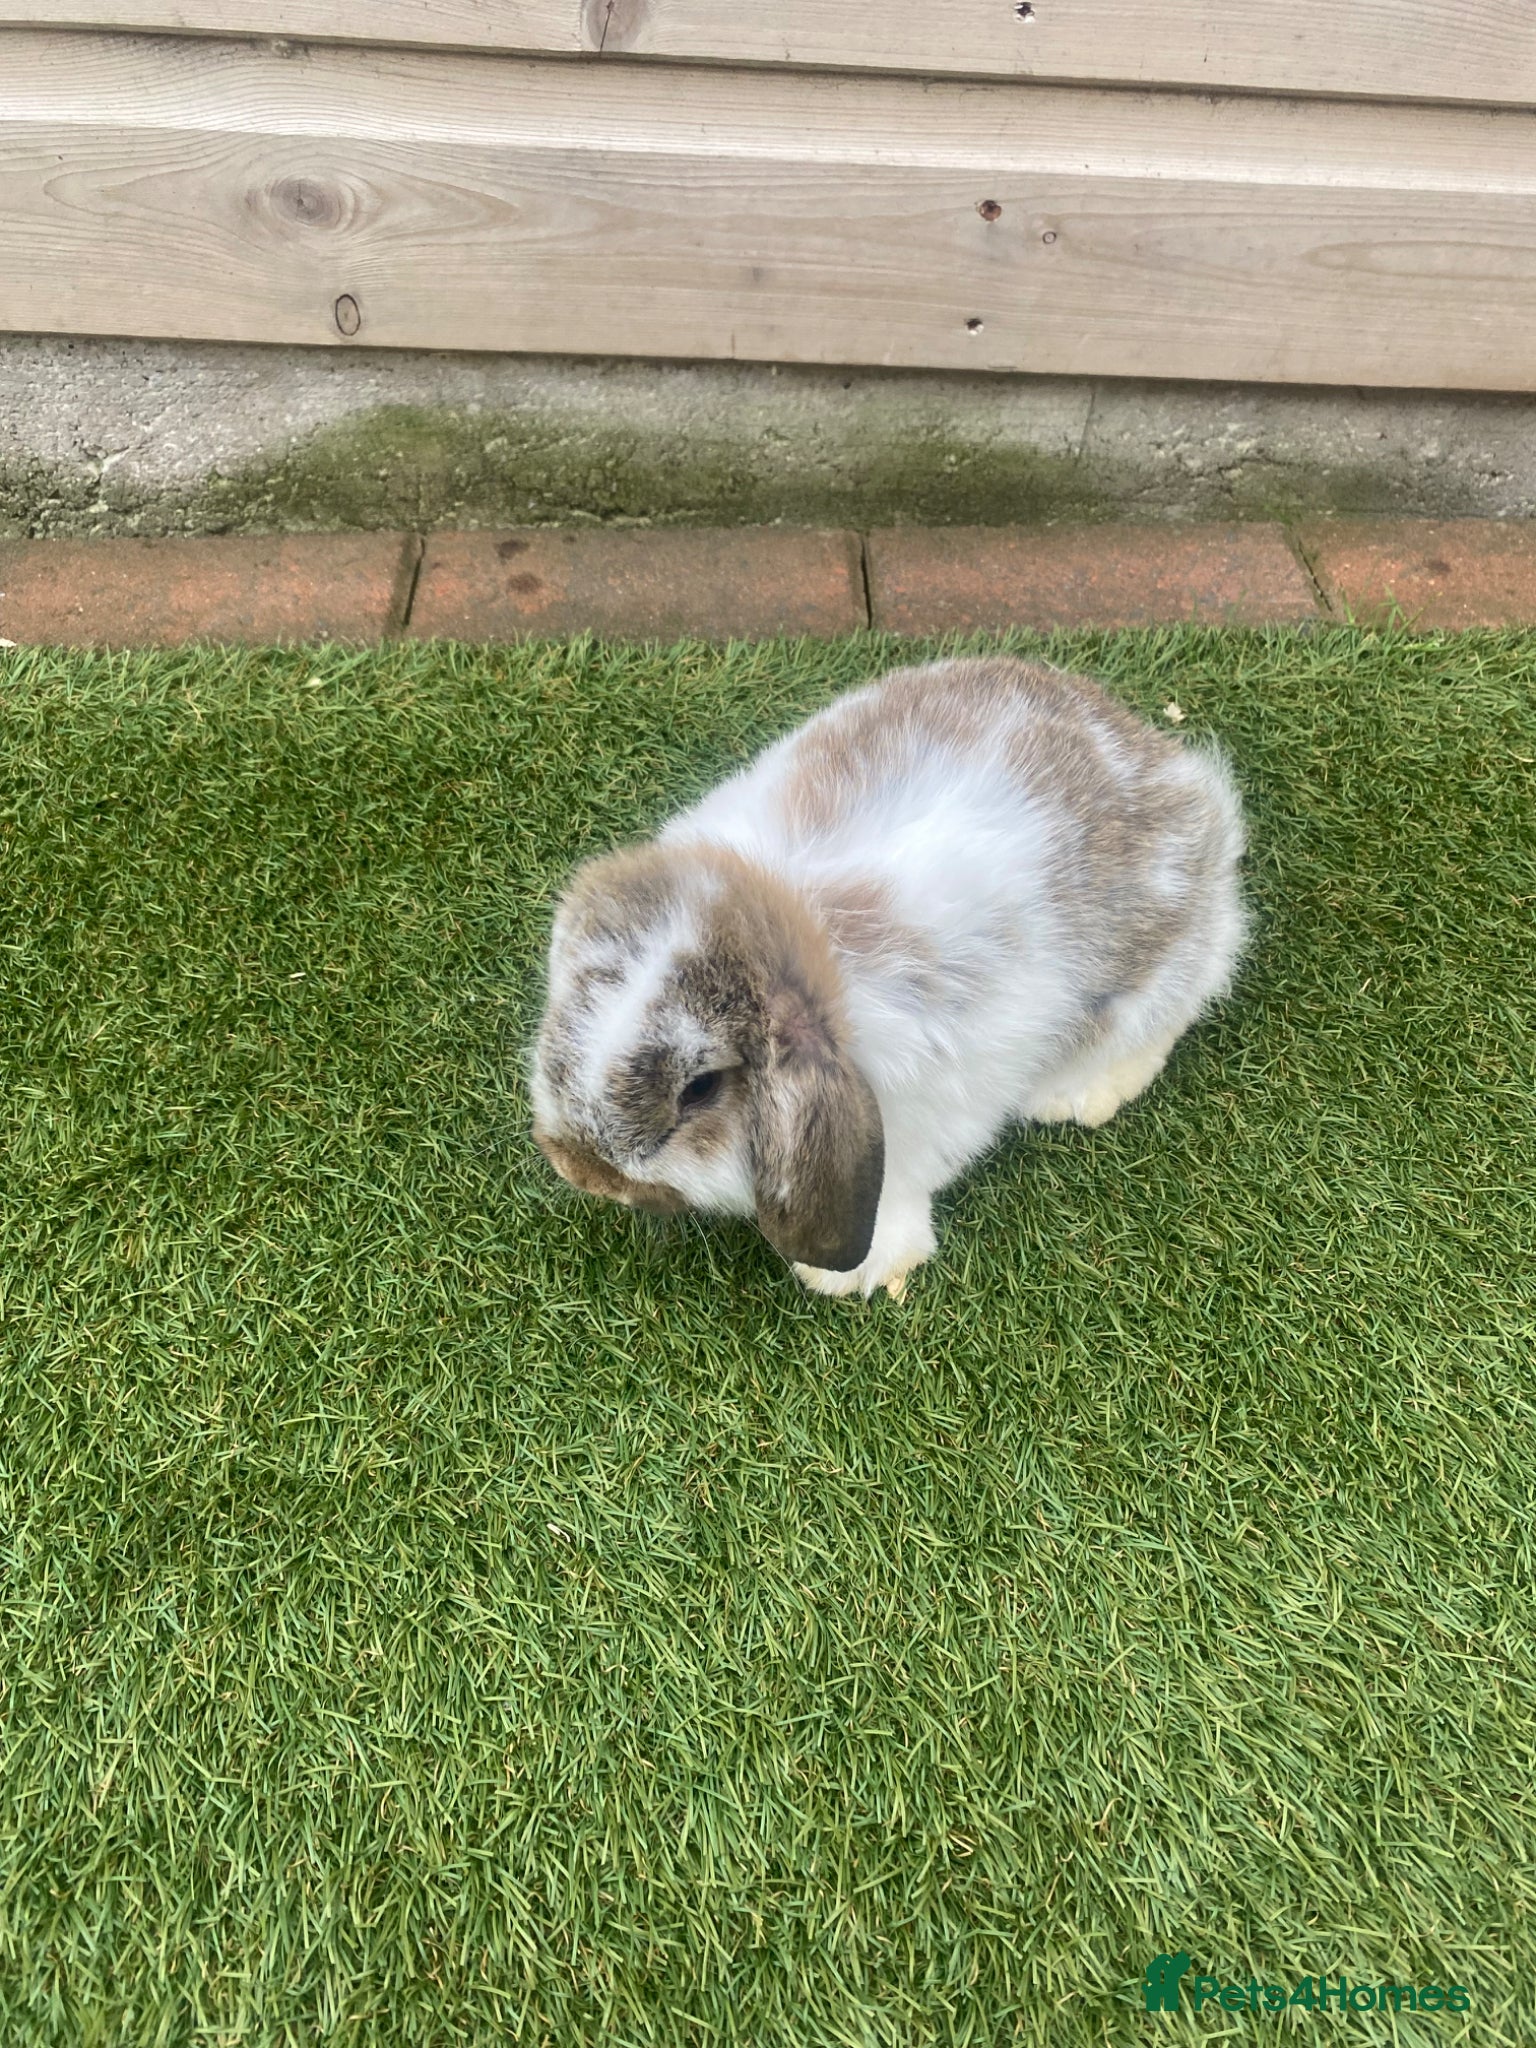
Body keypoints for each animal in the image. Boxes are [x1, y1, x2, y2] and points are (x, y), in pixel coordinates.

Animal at [531, 654, 1246, 1299]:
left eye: (701, 1089)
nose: (583, 1171)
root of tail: (1184, 779)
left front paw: (850, 1276)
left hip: (1156, 981)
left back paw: (1076, 1096)